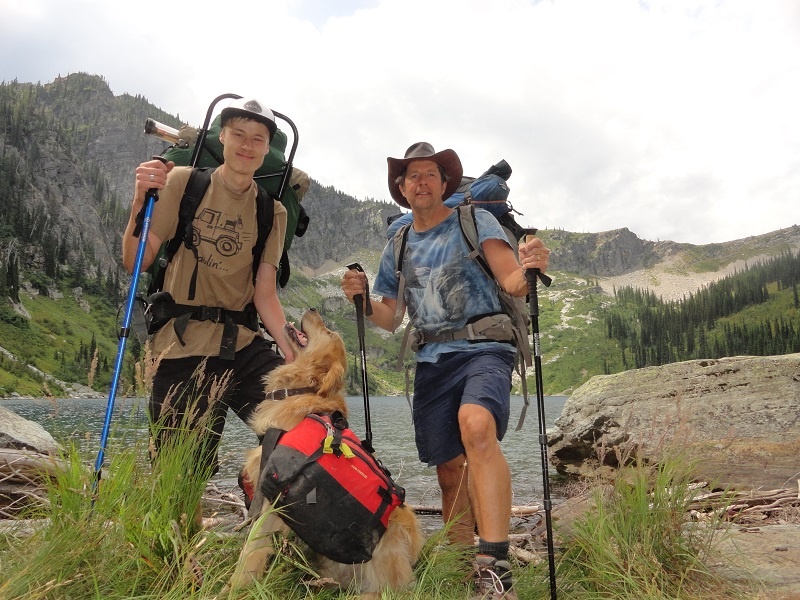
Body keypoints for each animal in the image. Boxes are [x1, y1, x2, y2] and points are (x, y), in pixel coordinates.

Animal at [228, 308, 424, 596]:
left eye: (329, 332)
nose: (312, 309)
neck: (302, 391)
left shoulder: (271, 499)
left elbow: (250, 553)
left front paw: (229, 589)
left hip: (397, 529)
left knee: (388, 590)